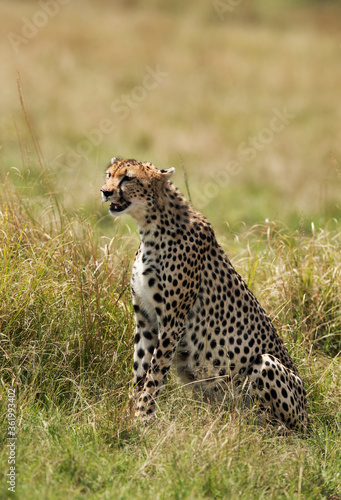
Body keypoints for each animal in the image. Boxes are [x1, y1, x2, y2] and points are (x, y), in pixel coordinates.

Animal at [100, 158, 308, 432]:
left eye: (128, 178)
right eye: (109, 175)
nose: (105, 191)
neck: (151, 227)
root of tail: (308, 416)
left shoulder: (172, 322)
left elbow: (155, 373)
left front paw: (143, 419)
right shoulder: (145, 319)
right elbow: (140, 370)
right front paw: (131, 415)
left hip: (265, 364)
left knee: (275, 425)